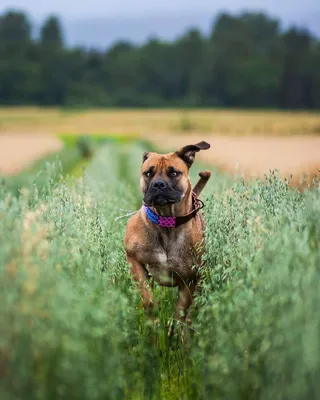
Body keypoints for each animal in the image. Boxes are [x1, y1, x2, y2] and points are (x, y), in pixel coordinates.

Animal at [124, 142, 211, 332]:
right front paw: (155, 323)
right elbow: (147, 298)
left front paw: (173, 329)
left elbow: (182, 310)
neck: (167, 221)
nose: (158, 184)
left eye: (174, 173)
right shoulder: (134, 260)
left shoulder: (191, 278)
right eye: (148, 173)